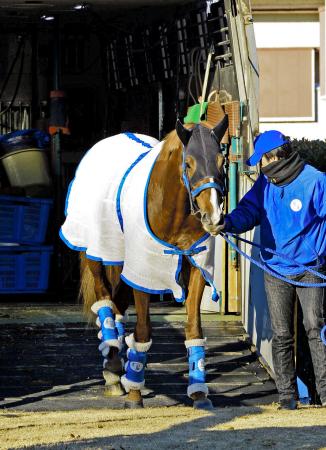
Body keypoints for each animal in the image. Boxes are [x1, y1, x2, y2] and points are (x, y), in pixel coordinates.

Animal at [61, 114, 229, 410]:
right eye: (188, 163)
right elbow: (142, 330)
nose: (213, 217)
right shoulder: (143, 271)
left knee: (117, 304)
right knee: (104, 300)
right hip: (95, 253)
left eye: (222, 162)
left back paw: (117, 366)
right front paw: (135, 393)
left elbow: (193, 328)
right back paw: (114, 366)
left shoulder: (197, 268)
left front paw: (199, 392)